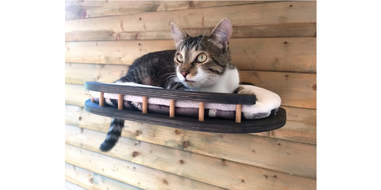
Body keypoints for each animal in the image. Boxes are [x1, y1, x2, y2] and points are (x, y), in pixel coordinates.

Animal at [99, 17, 243, 151]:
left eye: (202, 57)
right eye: (179, 57)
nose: (183, 72)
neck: (213, 86)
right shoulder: (173, 81)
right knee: (119, 81)